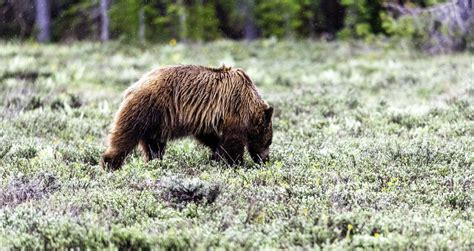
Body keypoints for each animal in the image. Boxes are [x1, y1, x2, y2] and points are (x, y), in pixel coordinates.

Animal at [101, 64, 274, 171]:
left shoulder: (207, 117)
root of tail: (133, 86)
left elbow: (210, 137)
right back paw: (110, 164)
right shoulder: (234, 110)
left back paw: (155, 162)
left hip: (156, 122)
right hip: (146, 109)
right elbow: (233, 143)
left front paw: (217, 155)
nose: (266, 160)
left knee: (153, 144)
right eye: (269, 142)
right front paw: (236, 163)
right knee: (126, 136)